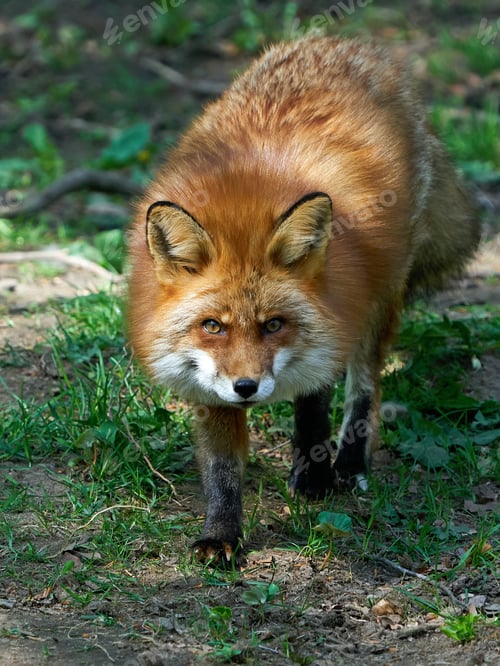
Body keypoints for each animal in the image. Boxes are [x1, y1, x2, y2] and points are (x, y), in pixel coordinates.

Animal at [128, 36, 480, 563]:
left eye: (273, 324)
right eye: (212, 326)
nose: (247, 388)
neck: (242, 204)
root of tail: (342, 43)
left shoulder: (336, 321)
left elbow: (318, 399)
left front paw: (315, 470)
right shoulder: (208, 386)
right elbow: (223, 470)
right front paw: (222, 533)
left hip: (380, 297)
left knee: (362, 385)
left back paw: (346, 462)